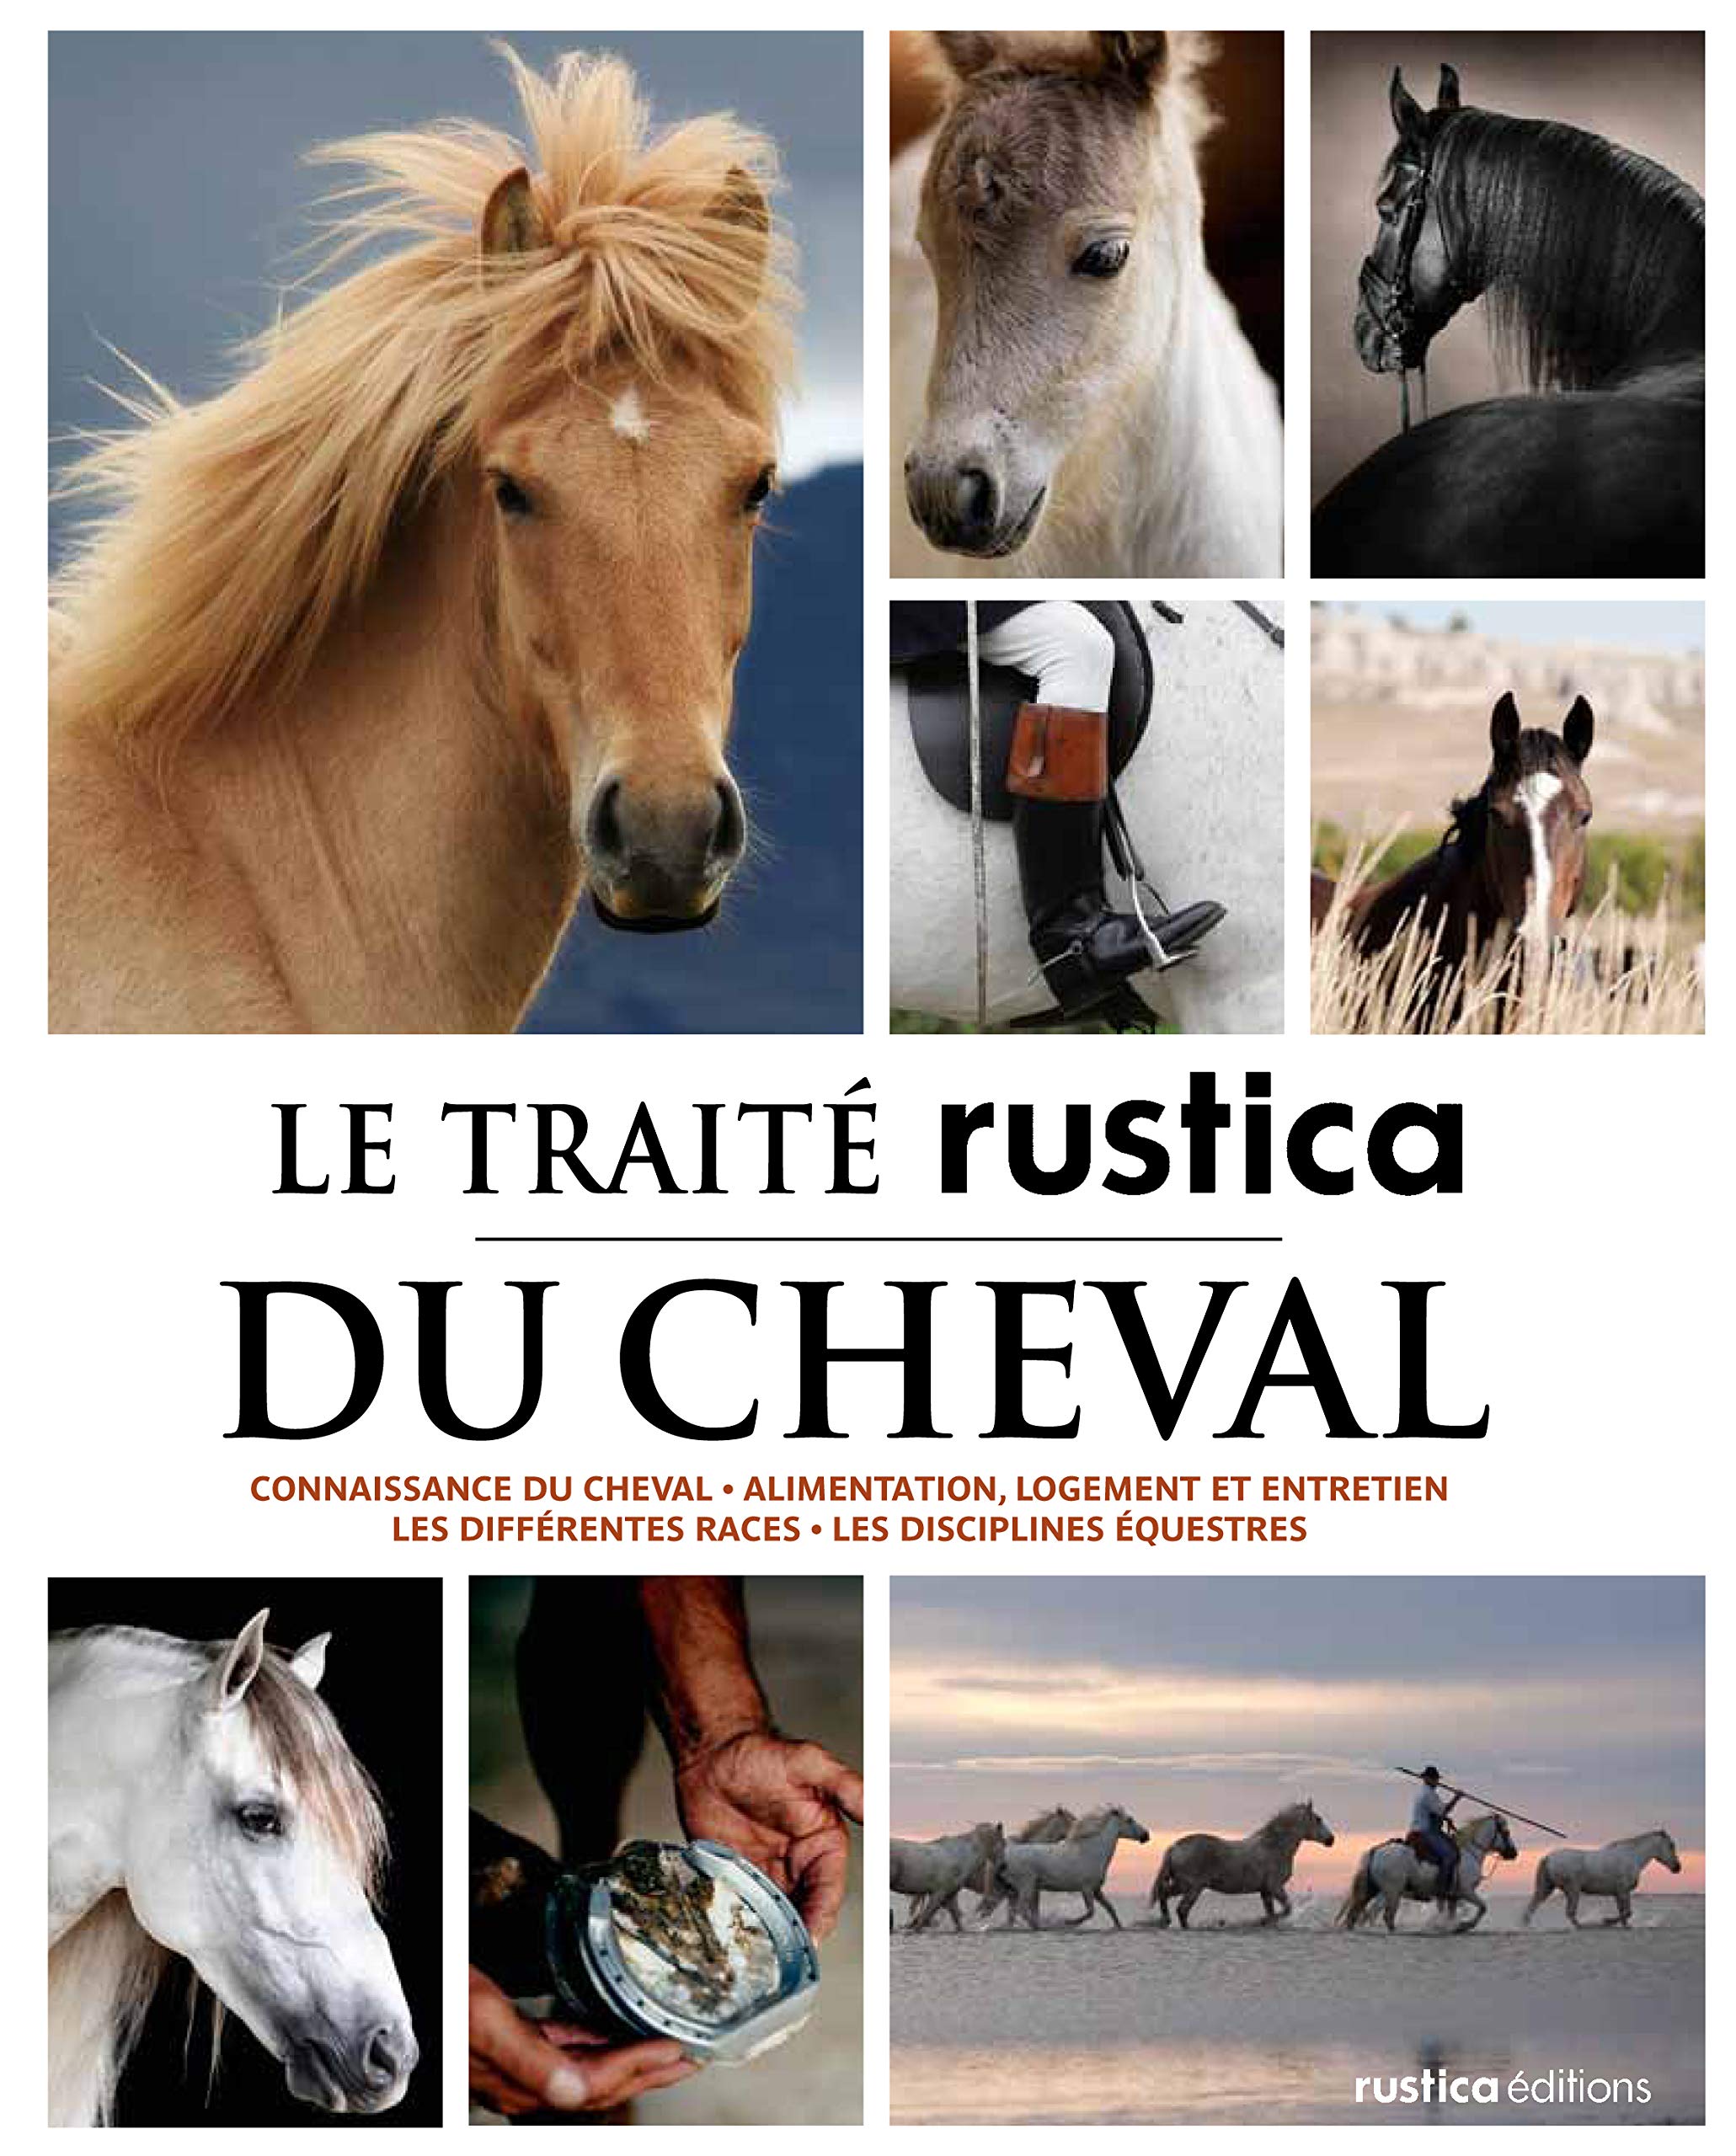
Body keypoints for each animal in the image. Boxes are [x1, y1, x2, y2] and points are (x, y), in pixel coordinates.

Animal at [889, 1821, 1004, 1933]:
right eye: (1003, 1843)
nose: (1003, 1865)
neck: (961, 1856)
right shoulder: (939, 1892)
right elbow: (928, 1912)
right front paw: (914, 1930)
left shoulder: (950, 1894)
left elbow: (955, 1915)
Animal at [989, 1805, 1150, 1931]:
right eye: (1129, 1820)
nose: (1146, 1835)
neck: (1092, 1852)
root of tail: (1005, 1855)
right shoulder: (1086, 1889)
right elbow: (1090, 1912)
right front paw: (1068, 1922)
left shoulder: (1097, 1890)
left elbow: (1110, 1908)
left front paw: (1119, 1927)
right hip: (1026, 1886)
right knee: (1021, 1909)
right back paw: (1039, 1927)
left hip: (1017, 1889)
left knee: (1014, 1911)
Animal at [1151, 1800, 1336, 1929]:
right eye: (1318, 1819)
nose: (1331, 1840)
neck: (1274, 1847)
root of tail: (1175, 1847)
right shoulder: (1275, 1887)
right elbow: (1286, 1910)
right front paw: (1260, 1921)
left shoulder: (1266, 1891)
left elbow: (1272, 1913)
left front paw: (1265, 1923)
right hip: (1192, 1888)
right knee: (1181, 1909)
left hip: (1182, 1885)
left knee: (1164, 1895)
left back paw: (1165, 1921)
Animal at [1336, 1812, 1520, 1934]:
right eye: (1506, 1832)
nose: (1514, 1853)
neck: (1469, 1852)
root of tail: (1375, 1851)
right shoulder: (1466, 1891)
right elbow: (1483, 1907)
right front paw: (1464, 1925)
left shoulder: (1451, 1897)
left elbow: (1449, 1914)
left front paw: (1448, 1927)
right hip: (1392, 1892)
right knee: (1385, 1915)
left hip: (1373, 1890)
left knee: (1358, 1913)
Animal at [1523, 1830, 1682, 1929]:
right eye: (1671, 1845)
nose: (1677, 1868)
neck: (1631, 1856)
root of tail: (1548, 1857)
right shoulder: (1623, 1891)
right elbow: (1627, 1912)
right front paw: (1606, 1922)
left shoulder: (1619, 1893)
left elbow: (1624, 1913)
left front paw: (1625, 1926)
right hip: (1573, 1890)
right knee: (1570, 1913)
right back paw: (1585, 1926)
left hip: (1548, 1888)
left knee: (1533, 1906)